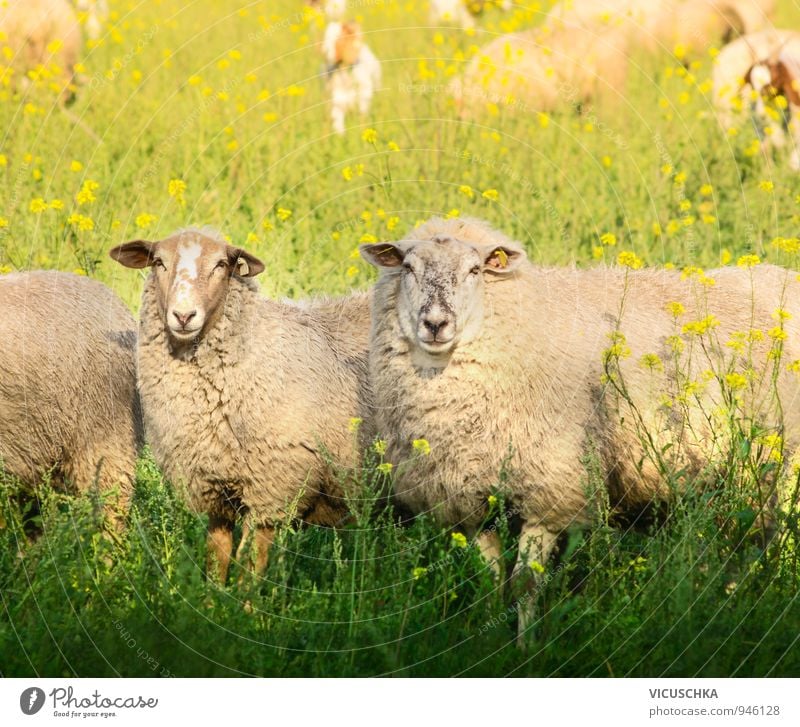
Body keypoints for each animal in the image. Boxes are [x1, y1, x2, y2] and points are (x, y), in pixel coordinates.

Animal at [109, 225, 372, 584]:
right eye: (159, 262)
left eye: (222, 264)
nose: (183, 315)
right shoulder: (214, 491)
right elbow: (216, 558)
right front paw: (212, 597)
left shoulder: (272, 487)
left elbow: (250, 566)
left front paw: (244, 601)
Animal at [362, 219, 800, 640]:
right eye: (407, 268)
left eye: (474, 270)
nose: (436, 324)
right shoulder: (468, 503)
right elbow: (489, 582)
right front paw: (484, 641)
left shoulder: (551, 493)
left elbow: (524, 584)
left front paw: (525, 648)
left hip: (764, 469)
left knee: (756, 542)